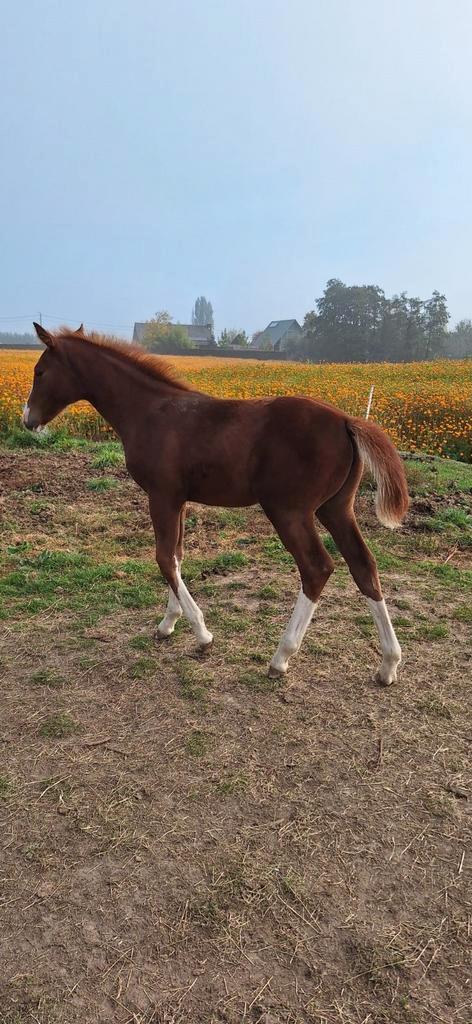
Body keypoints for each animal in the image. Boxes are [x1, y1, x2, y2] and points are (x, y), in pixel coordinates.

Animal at [23, 323, 409, 683]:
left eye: (40, 371)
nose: (28, 420)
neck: (149, 411)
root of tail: (346, 420)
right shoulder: (178, 499)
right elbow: (177, 556)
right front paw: (168, 623)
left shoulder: (161, 495)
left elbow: (164, 558)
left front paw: (202, 634)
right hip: (336, 508)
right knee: (363, 565)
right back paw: (388, 664)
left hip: (289, 511)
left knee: (317, 568)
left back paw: (281, 657)